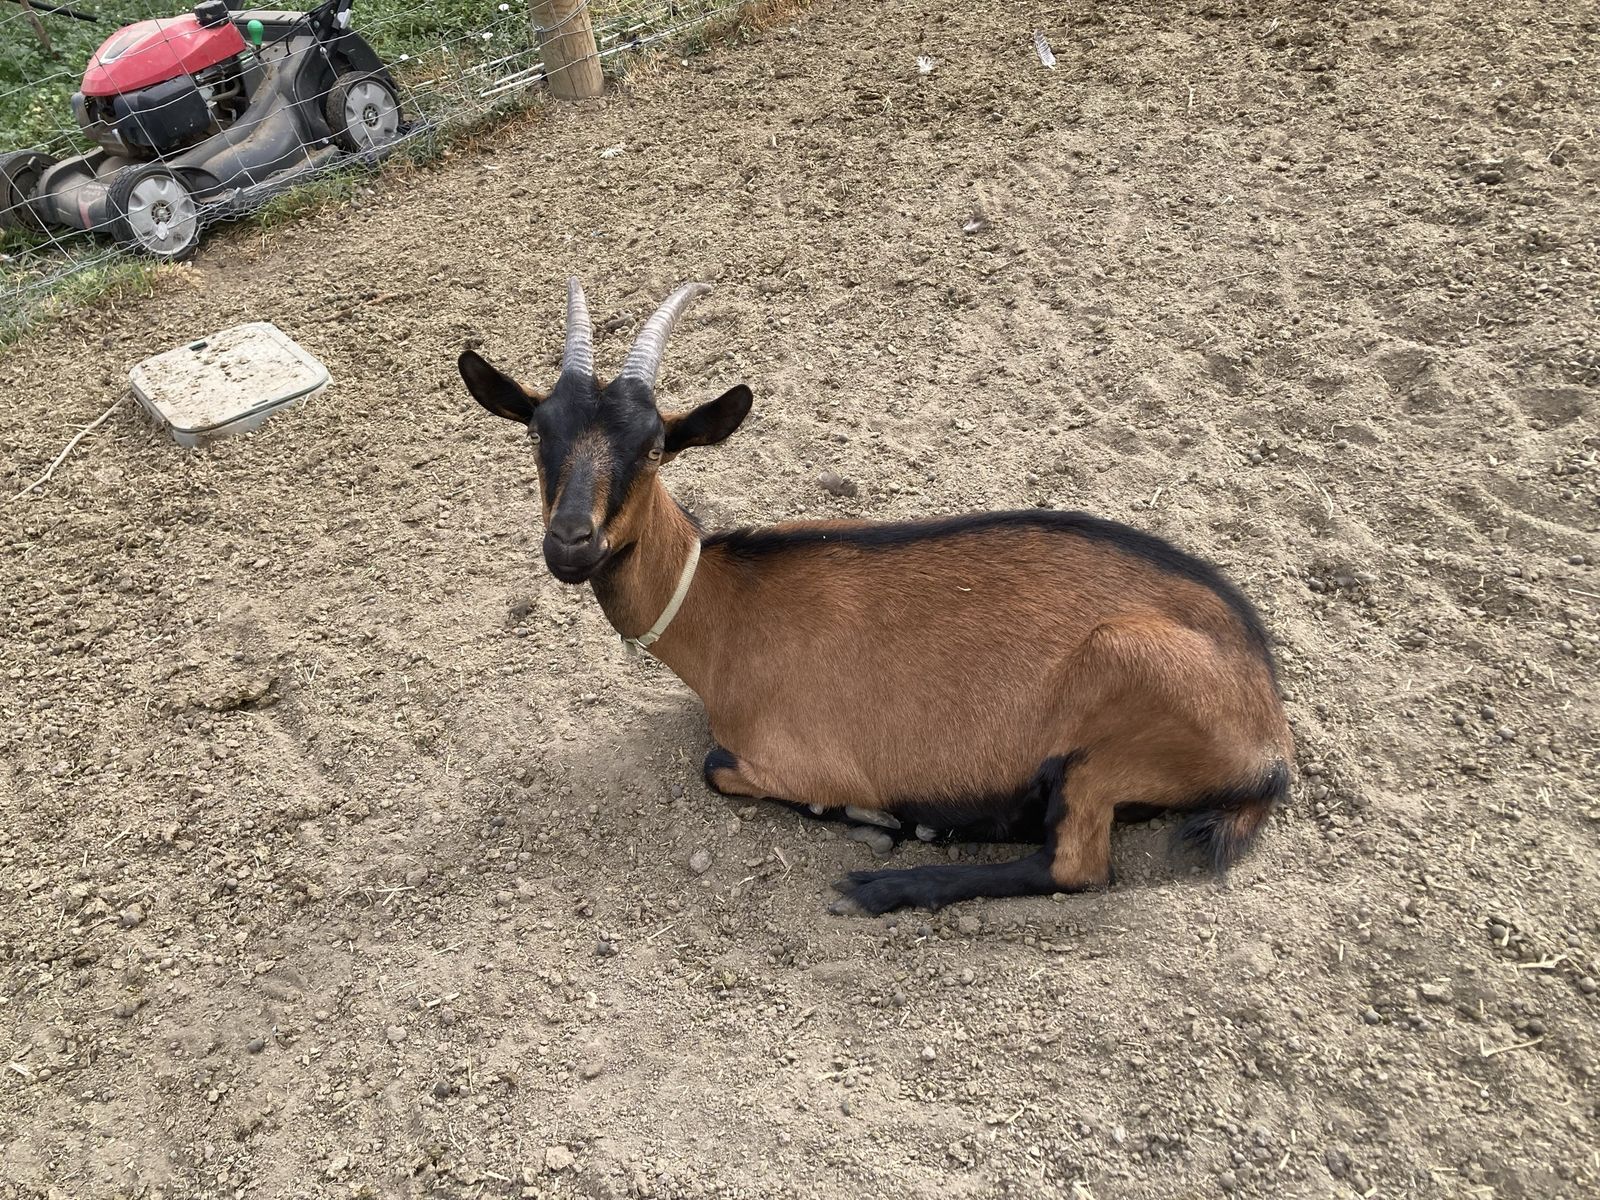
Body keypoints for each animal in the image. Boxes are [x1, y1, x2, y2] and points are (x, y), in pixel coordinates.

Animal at [457, 279, 1293, 914]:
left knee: (1075, 865)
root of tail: (1270, 736)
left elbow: (717, 768)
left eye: (656, 446)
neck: (722, 609)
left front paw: (868, 815)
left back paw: (889, 876)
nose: (572, 542)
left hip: (1116, 698)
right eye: (536, 433)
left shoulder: (794, 753)